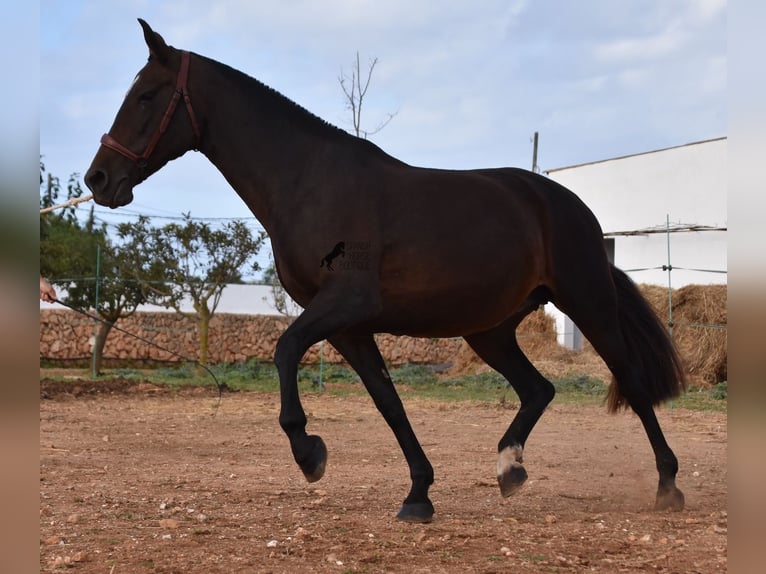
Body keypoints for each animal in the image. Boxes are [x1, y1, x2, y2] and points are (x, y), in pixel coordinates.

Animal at [85, 20, 688, 524]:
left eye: (145, 96)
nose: (98, 179)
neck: (308, 180)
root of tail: (568, 204)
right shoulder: (350, 328)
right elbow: (388, 403)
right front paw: (418, 495)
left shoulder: (345, 306)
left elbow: (285, 350)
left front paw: (309, 454)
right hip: (489, 330)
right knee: (538, 388)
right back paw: (509, 469)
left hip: (587, 303)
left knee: (632, 383)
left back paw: (668, 487)